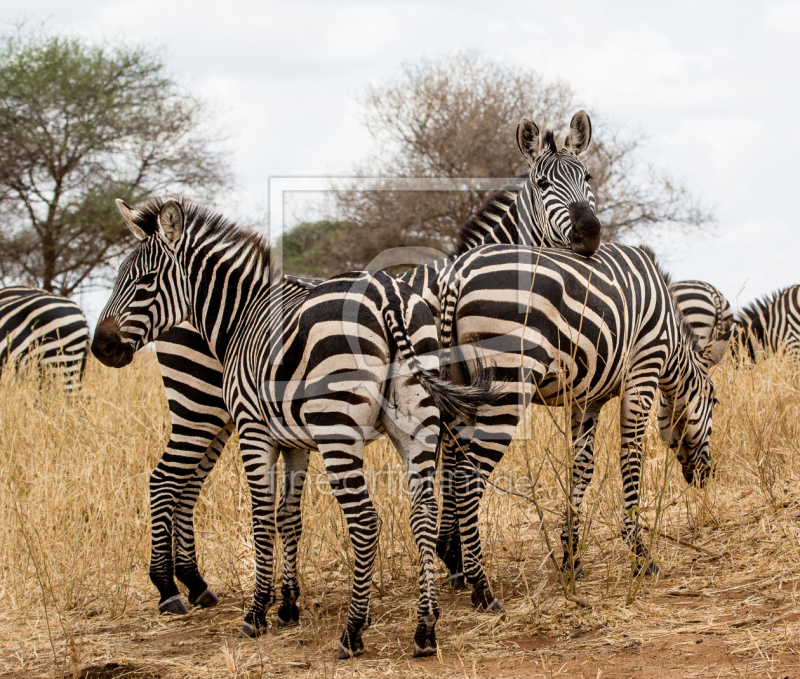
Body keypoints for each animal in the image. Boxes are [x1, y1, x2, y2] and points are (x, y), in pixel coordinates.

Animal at [90, 197, 496, 660]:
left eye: (145, 280)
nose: (100, 348)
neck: (240, 317)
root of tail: (388, 296)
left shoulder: (253, 429)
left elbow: (262, 518)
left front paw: (257, 613)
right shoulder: (294, 442)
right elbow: (289, 517)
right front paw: (287, 606)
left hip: (333, 428)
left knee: (364, 520)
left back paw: (351, 632)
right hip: (417, 421)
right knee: (423, 512)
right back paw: (425, 629)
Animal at [126, 109, 600, 620]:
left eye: (588, 177)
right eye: (543, 183)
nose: (590, 233)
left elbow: (447, 471)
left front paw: (450, 558)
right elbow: (454, 470)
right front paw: (455, 560)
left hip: (221, 414)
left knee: (187, 482)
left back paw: (195, 583)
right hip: (201, 405)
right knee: (165, 479)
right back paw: (168, 587)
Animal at [434, 243, 736, 604]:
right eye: (714, 401)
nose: (707, 476)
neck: (671, 345)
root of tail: (458, 273)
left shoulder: (587, 399)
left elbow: (582, 468)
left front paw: (571, 558)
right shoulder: (643, 372)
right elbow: (631, 459)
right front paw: (639, 554)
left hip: (463, 384)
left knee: (451, 469)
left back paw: (458, 566)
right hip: (507, 384)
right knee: (468, 476)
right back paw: (482, 589)